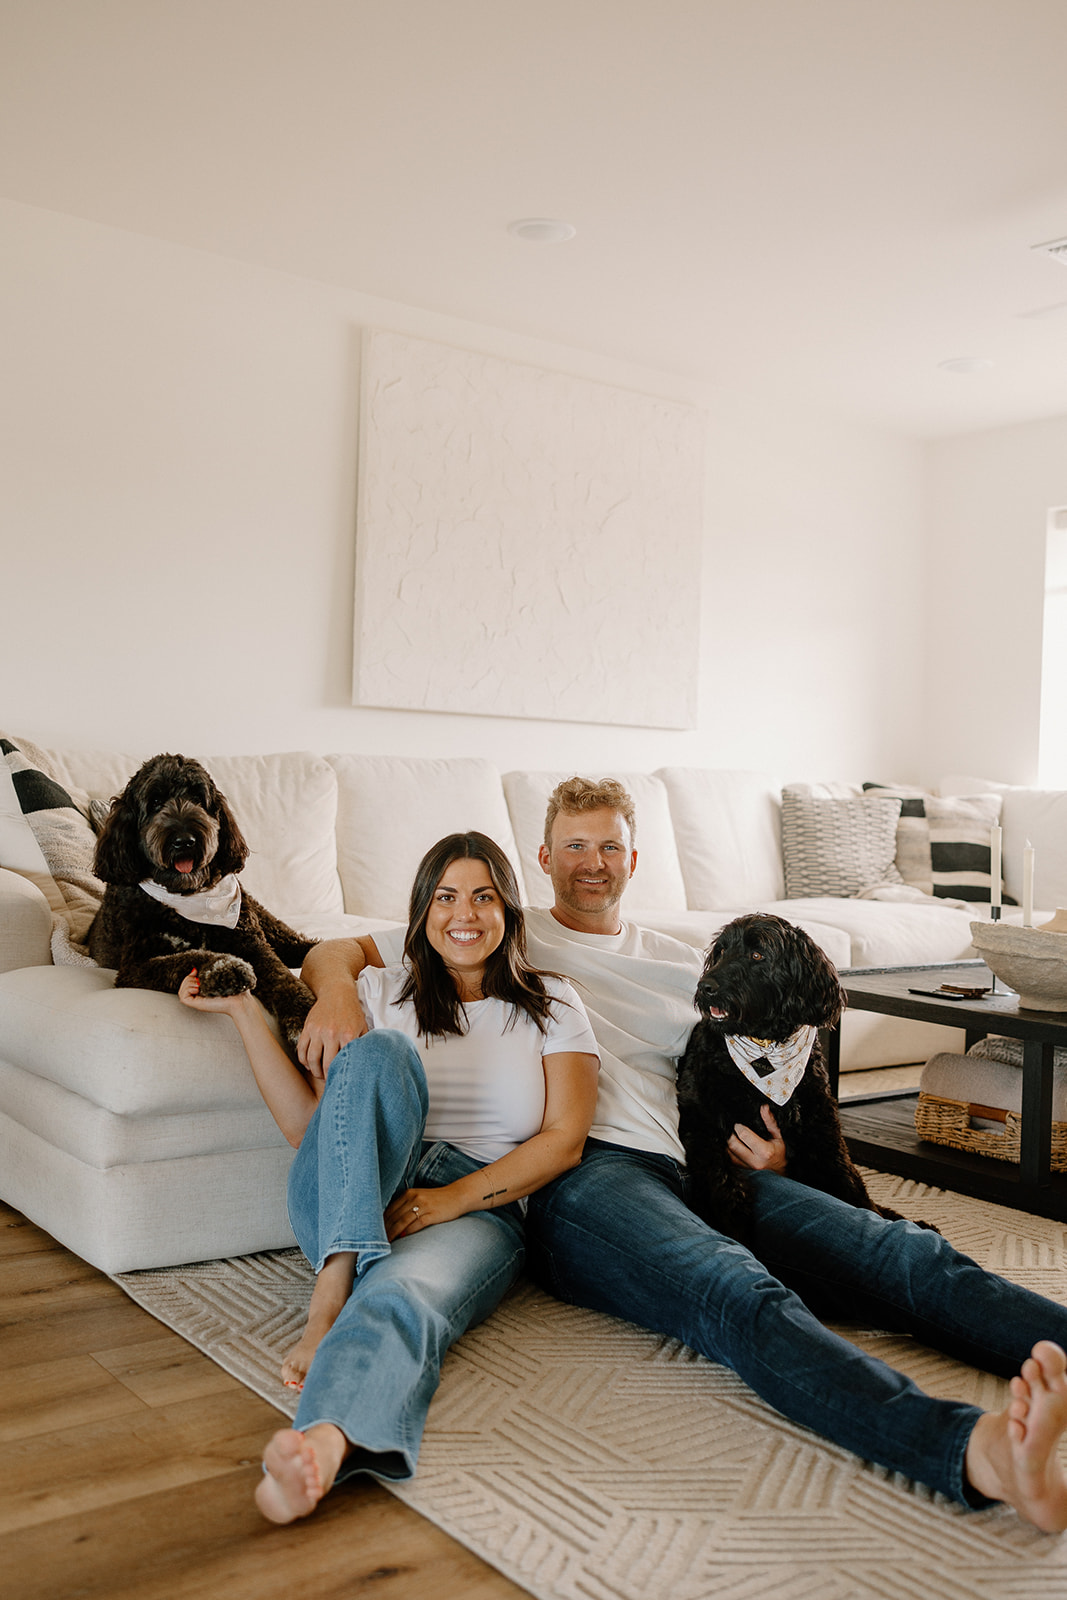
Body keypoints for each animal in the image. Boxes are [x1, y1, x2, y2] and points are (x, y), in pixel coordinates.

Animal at [88, 752, 316, 1049]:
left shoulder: (250, 942)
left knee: (295, 943)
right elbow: (185, 960)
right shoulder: (135, 967)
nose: (185, 840)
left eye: (198, 798)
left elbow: (280, 975)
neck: (189, 899)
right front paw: (223, 969)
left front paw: (302, 1014)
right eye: (155, 802)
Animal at [675, 915, 934, 1248]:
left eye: (757, 954)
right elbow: (725, 1188)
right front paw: (741, 1236)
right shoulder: (702, 1129)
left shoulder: (822, 1132)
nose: (705, 986)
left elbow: (852, 1188)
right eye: (720, 951)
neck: (765, 1052)